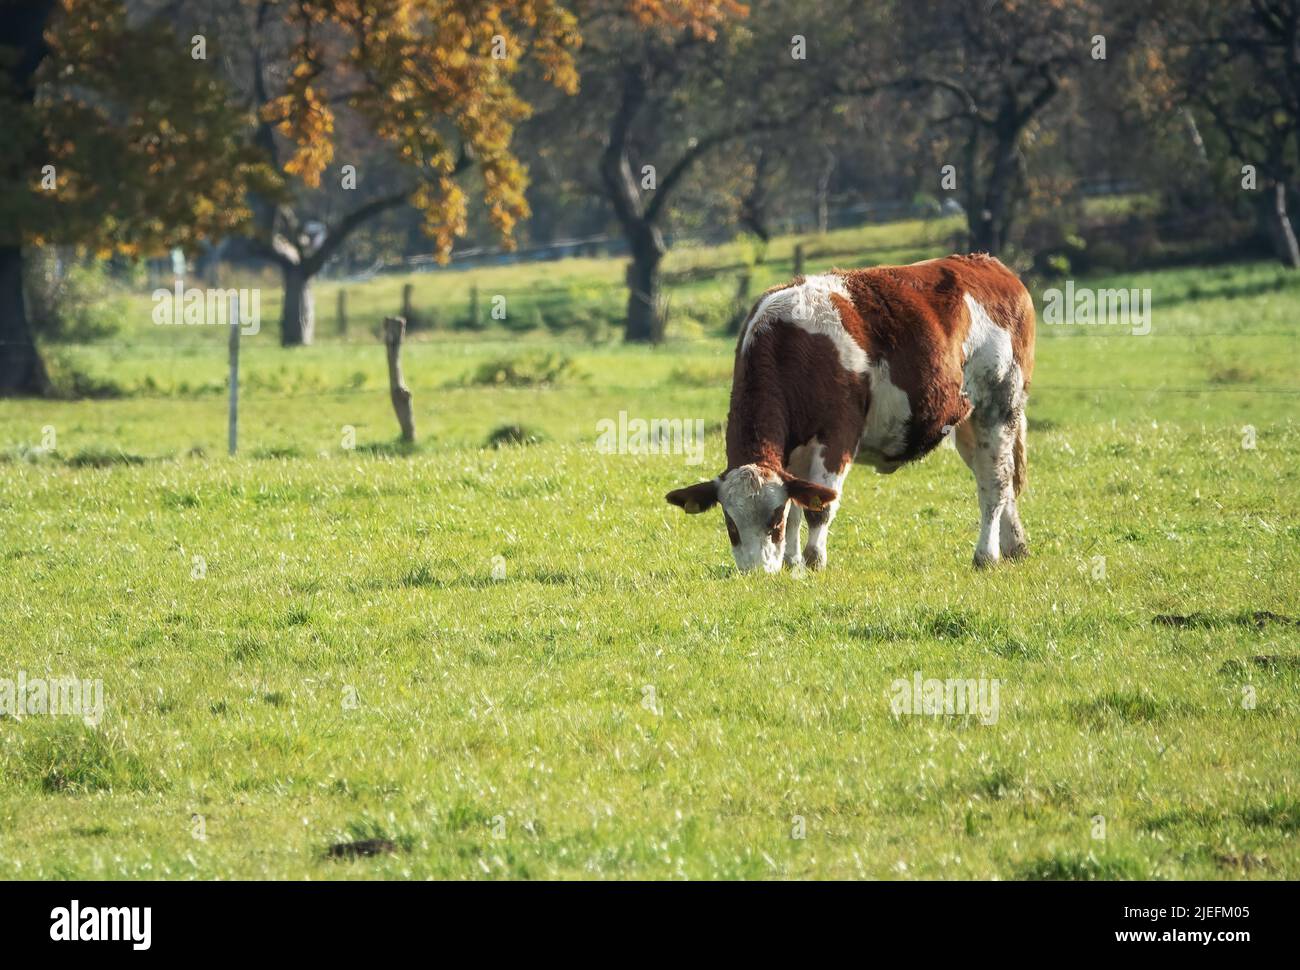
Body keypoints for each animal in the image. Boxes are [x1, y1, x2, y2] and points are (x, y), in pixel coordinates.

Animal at [666, 253, 1035, 573]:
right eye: (731, 524)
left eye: (774, 521)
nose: (756, 572)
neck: (789, 345)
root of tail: (990, 264)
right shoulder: (792, 455)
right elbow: (799, 500)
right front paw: (792, 563)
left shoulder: (837, 435)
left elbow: (819, 508)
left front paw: (813, 561)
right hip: (970, 423)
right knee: (998, 478)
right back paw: (1014, 546)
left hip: (999, 406)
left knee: (994, 483)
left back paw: (986, 555)